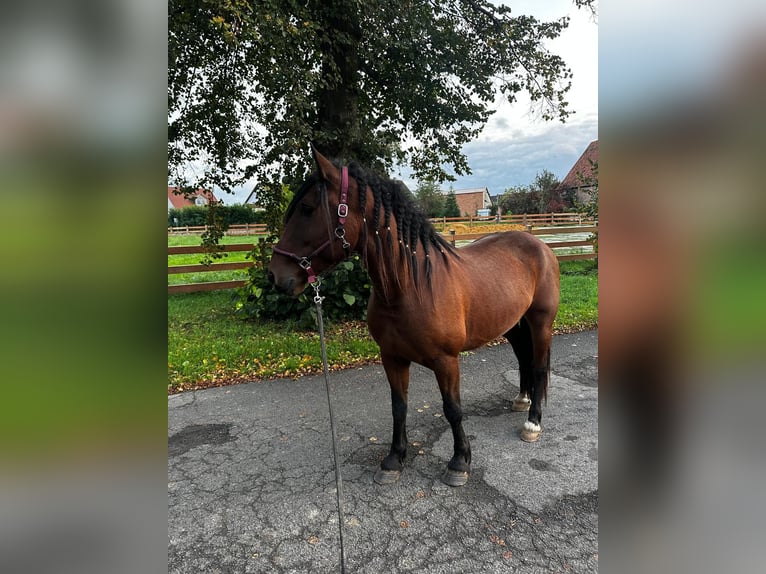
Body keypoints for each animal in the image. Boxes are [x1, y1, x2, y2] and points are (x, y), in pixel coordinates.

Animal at [272, 146, 560, 488]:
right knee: (523, 359)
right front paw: (394, 459)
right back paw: (522, 400)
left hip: (540, 322)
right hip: (512, 325)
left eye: (307, 209)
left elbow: (453, 409)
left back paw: (532, 423)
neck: (409, 288)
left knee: (539, 366)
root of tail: (541, 245)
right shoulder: (392, 358)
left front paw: (459, 462)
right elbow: (399, 407)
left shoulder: (447, 361)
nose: (276, 275)